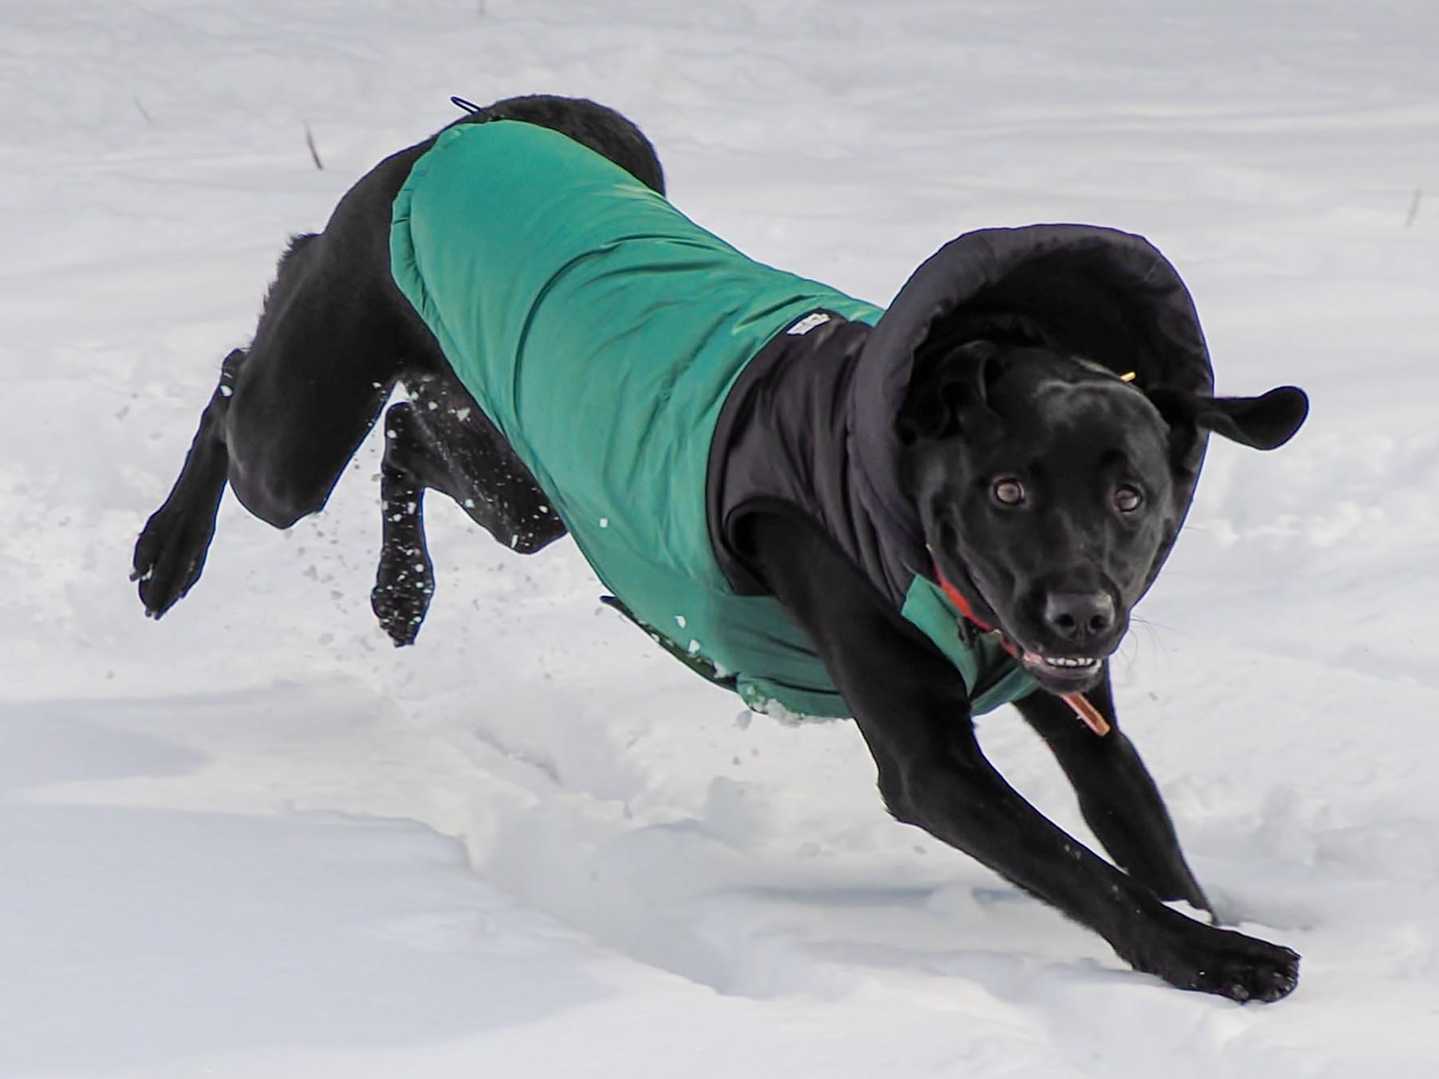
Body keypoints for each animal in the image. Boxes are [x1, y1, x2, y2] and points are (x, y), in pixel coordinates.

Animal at [133, 94, 1309, 1002]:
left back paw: (399, 590)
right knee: (240, 389)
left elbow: (1136, 828)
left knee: (406, 435)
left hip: (529, 480)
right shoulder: (930, 763)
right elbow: (1079, 867)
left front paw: (1212, 920)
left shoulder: (1074, 705)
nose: (1081, 612)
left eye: (1131, 494)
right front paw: (1218, 961)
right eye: (1007, 488)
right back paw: (167, 552)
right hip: (305, 430)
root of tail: (471, 130)